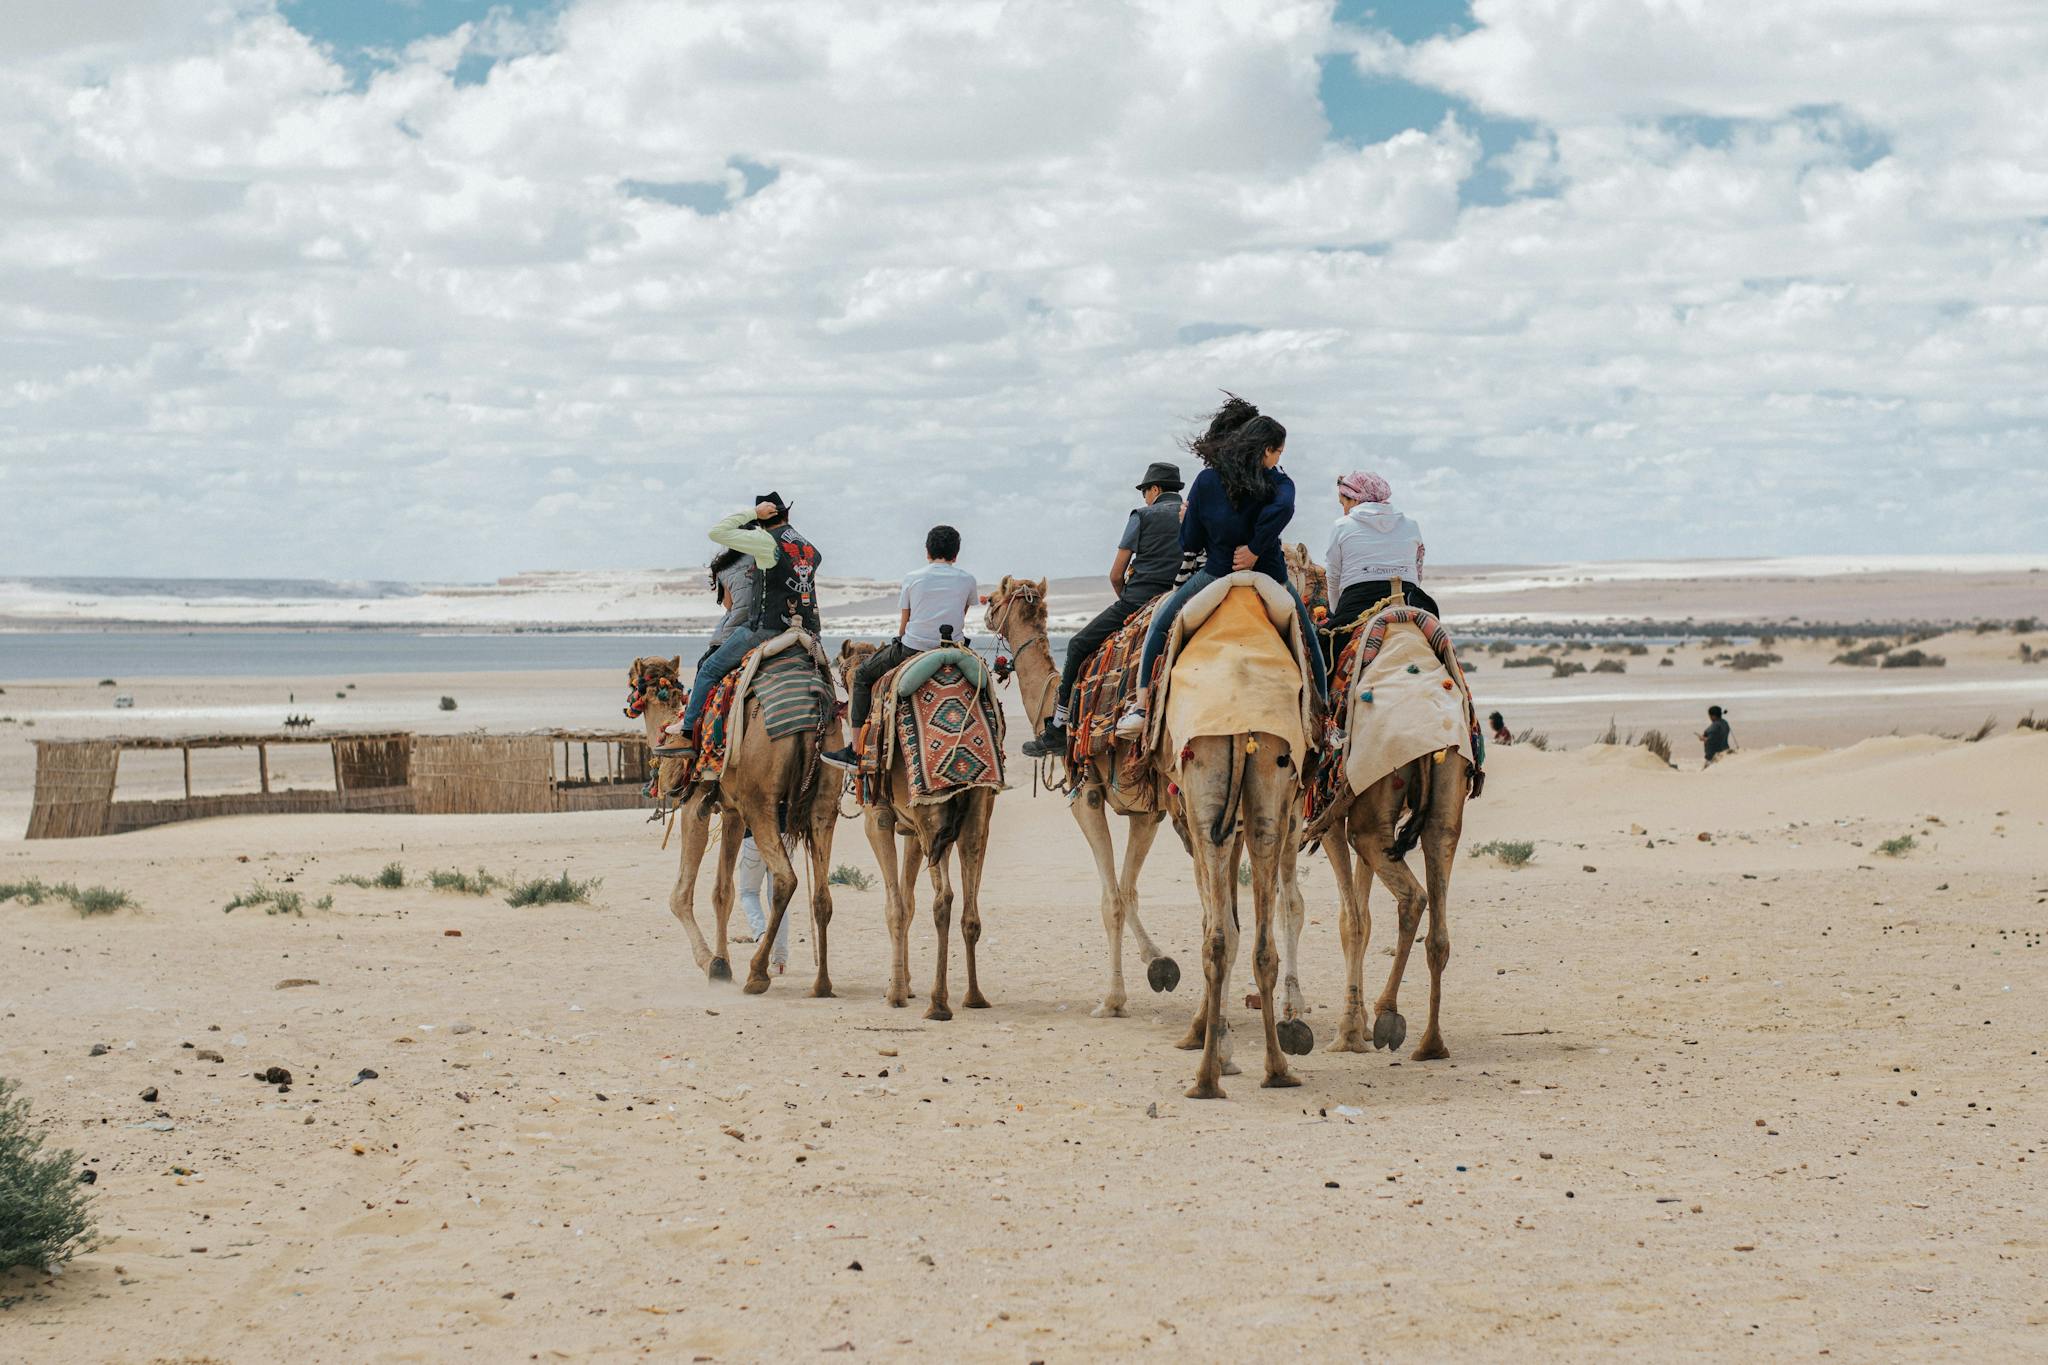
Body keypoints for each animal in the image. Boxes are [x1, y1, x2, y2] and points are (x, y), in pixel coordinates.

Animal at [627, 654, 841, 998]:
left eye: (634, 680)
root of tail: (814, 718)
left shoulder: (695, 803)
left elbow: (680, 895)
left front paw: (710, 963)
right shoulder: (732, 813)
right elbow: (723, 893)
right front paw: (722, 962)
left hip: (760, 803)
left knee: (785, 879)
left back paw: (758, 974)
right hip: (824, 802)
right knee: (821, 895)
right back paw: (821, 984)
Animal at [832, 640, 999, 1021]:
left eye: (846, 671)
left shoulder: (878, 818)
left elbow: (895, 906)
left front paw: (895, 992)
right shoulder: (910, 829)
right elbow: (907, 903)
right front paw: (905, 984)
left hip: (931, 815)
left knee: (944, 899)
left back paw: (939, 1003)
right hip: (974, 815)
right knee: (969, 907)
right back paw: (974, 996)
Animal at [982, 577, 1181, 1019]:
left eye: (997, 597)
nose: (983, 610)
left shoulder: (1086, 795)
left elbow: (1112, 900)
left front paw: (1112, 1000)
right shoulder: (1147, 811)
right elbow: (1128, 891)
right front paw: (1160, 964)